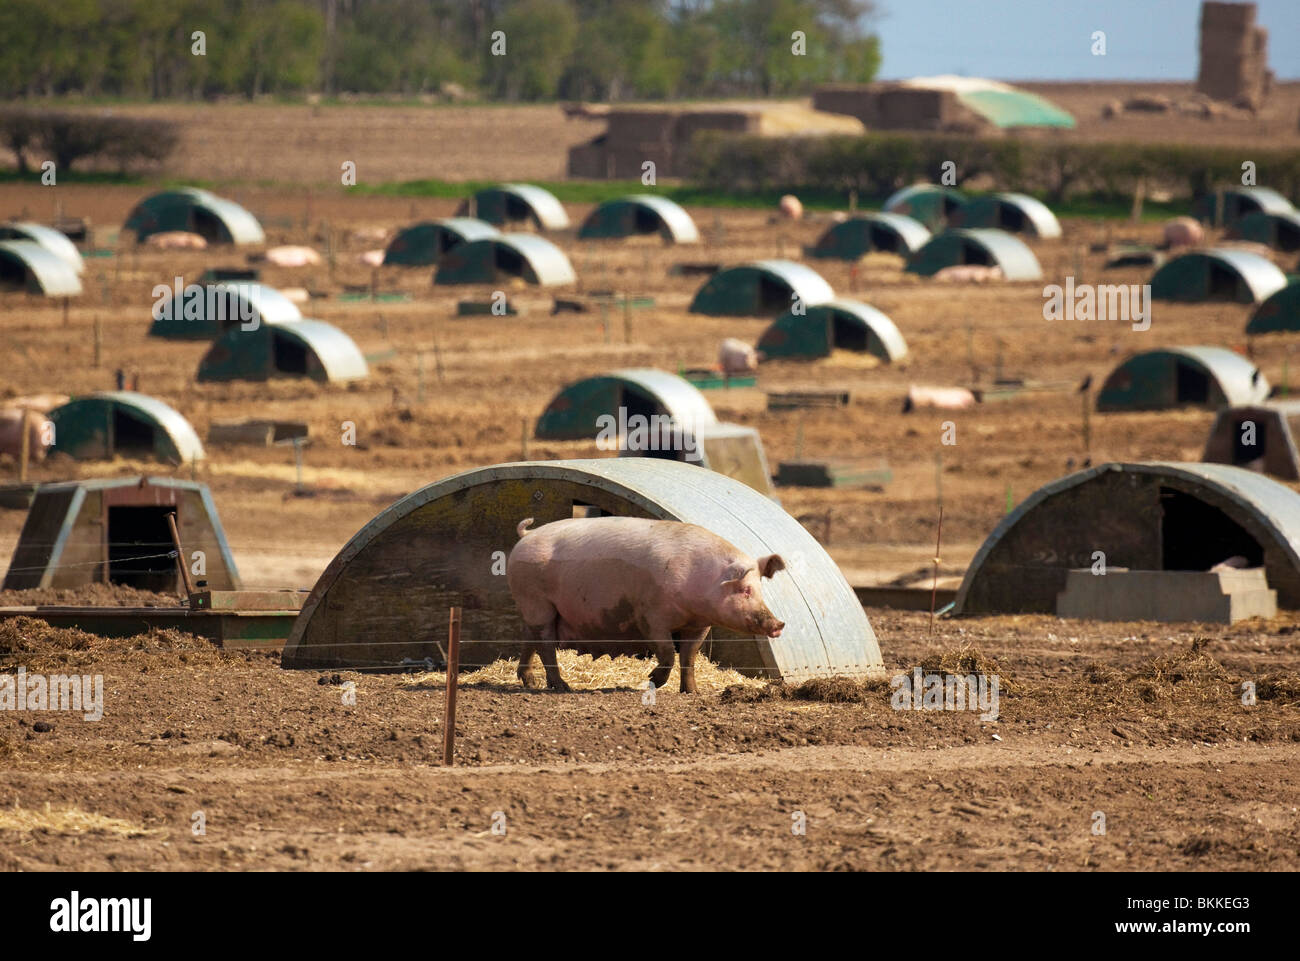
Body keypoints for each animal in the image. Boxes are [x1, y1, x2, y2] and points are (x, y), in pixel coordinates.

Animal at [504, 517, 785, 691]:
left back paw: (530, 683)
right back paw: (561, 687)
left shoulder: (699, 624)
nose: (779, 624)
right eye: (745, 589)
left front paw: (693, 692)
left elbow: (690, 657)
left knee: (529, 638)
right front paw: (652, 681)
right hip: (537, 601)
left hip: (534, 608)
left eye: (761, 589)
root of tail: (527, 535)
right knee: (545, 645)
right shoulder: (650, 615)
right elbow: (668, 652)